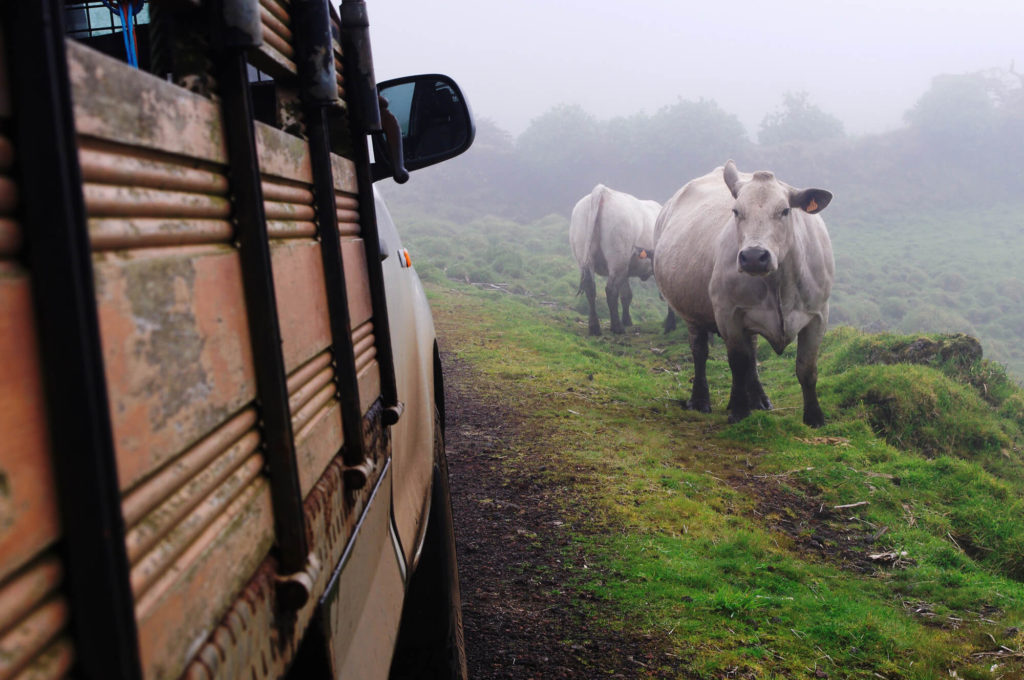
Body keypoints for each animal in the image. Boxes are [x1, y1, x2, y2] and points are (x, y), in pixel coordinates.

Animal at [573, 184, 659, 335]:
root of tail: (604, 191)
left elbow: (626, 295)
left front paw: (627, 320)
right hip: (619, 257)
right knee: (611, 289)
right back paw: (616, 327)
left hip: (586, 254)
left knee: (590, 288)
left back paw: (594, 327)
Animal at [651, 160, 835, 426]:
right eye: (736, 211)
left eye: (785, 211)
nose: (754, 256)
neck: (780, 284)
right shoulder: (729, 314)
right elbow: (737, 363)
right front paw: (739, 410)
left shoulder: (818, 315)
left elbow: (806, 368)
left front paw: (814, 416)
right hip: (690, 311)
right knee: (700, 351)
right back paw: (700, 400)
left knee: (752, 353)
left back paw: (758, 399)